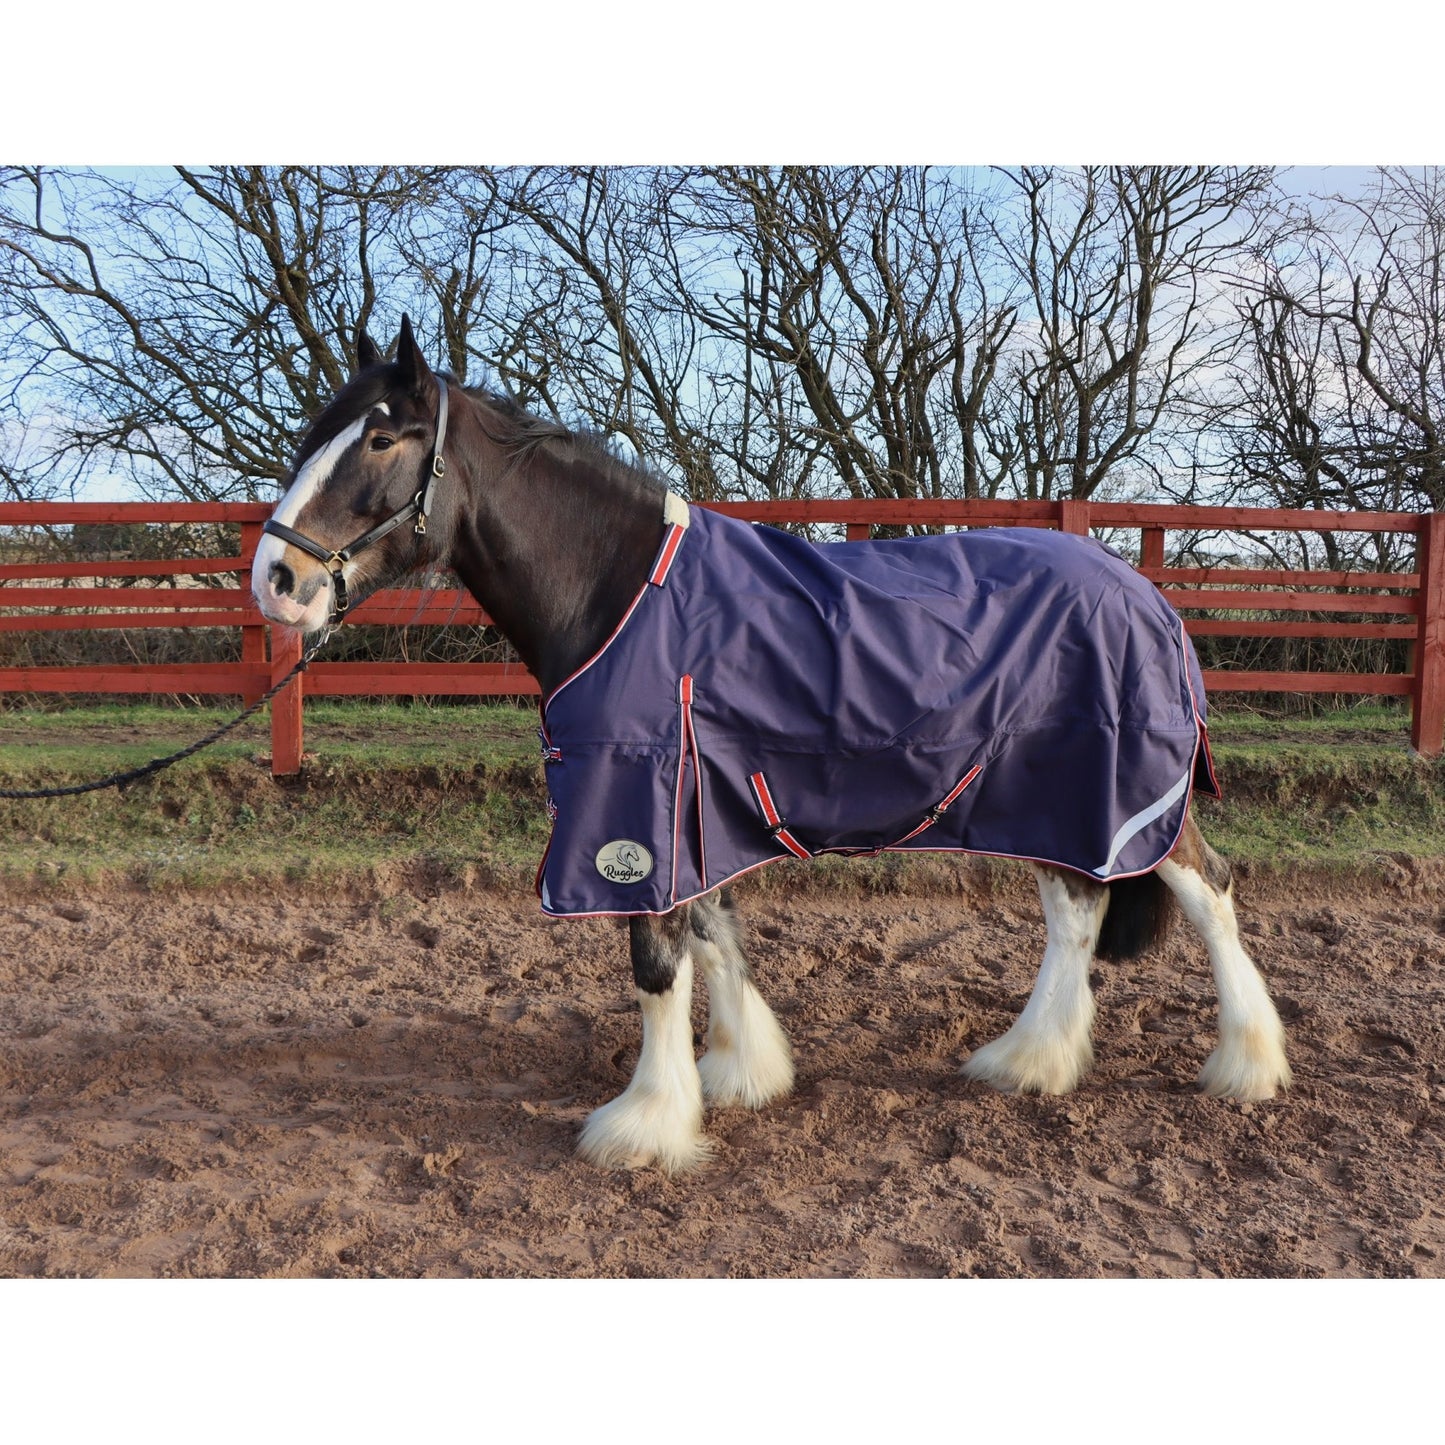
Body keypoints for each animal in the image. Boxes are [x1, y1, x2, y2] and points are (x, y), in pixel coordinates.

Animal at [251, 316, 1291, 1172]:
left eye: (381, 437)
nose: (275, 578)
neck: (621, 593)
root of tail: (1147, 593)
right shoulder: (696, 807)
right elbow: (715, 938)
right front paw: (739, 1073)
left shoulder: (638, 807)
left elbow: (658, 962)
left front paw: (644, 1124)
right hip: (1047, 795)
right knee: (1075, 911)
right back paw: (1029, 1061)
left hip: (1122, 792)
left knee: (1208, 891)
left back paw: (1245, 1065)